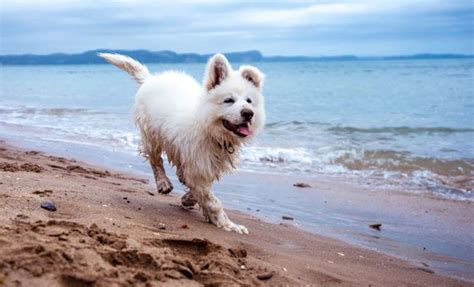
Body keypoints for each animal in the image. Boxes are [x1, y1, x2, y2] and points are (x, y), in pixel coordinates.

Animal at [98, 53, 264, 235]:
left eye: (249, 101)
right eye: (228, 100)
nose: (248, 113)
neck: (208, 127)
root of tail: (150, 78)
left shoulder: (204, 164)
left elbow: (200, 189)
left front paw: (188, 199)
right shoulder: (197, 164)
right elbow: (213, 201)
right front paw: (229, 225)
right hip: (151, 134)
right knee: (155, 160)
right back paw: (163, 182)